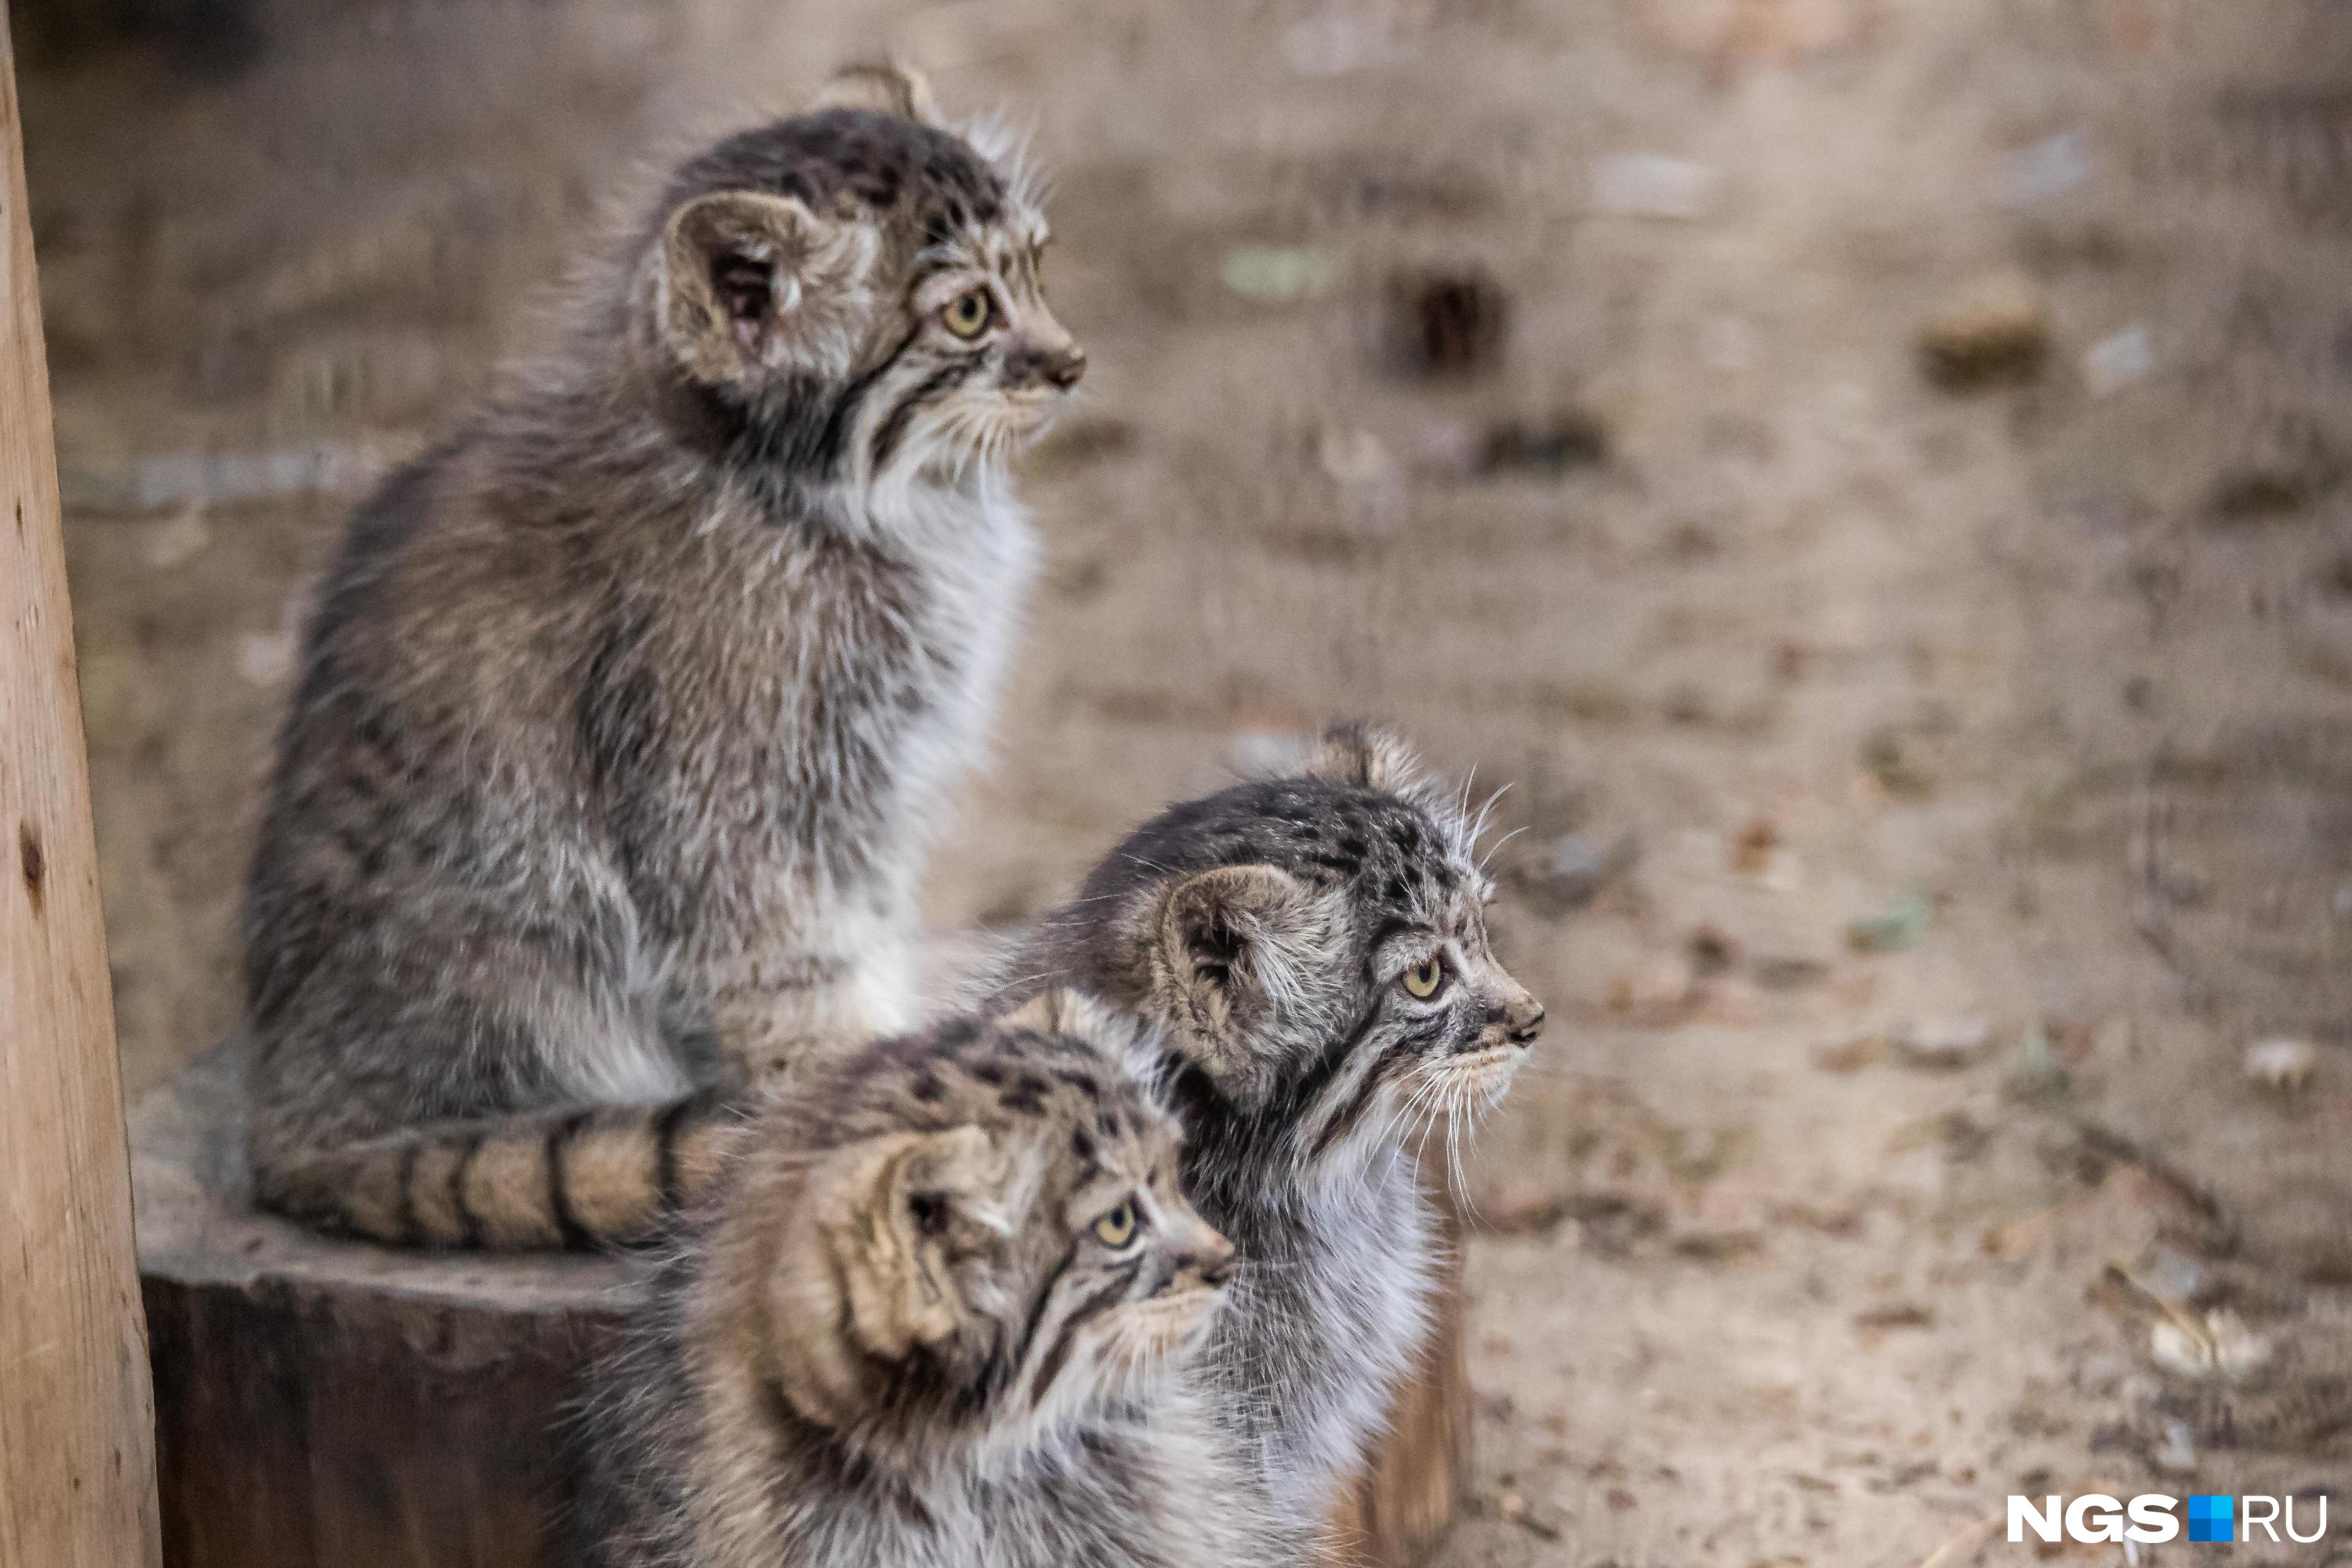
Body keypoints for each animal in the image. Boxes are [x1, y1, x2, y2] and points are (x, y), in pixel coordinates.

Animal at [238, 64, 1082, 1250]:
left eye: (1040, 267)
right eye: (969, 312)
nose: (1072, 362)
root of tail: (292, 1117)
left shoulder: (869, 802)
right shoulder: (735, 797)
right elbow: (790, 977)